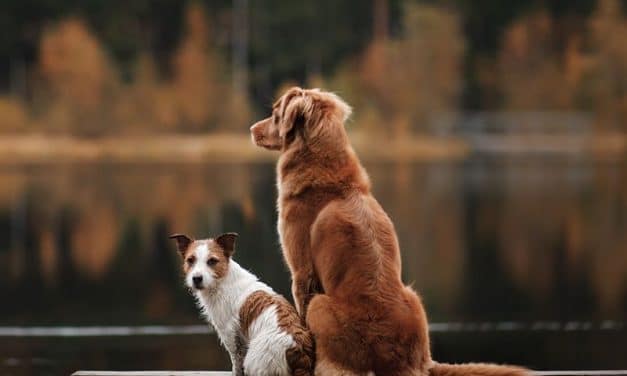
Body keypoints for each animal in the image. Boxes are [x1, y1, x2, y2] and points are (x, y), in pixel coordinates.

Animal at [170, 232, 314, 376]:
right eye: (190, 260)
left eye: (212, 261)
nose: (196, 279)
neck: (222, 280)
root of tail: (297, 347)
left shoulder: (229, 334)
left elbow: (236, 361)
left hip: (255, 362)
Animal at [250, 87, 528, 376]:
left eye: (275, 114)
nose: (251, 129)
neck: (325, 170)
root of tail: (410, 362)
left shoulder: (302, 273)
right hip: (414, 297)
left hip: (321, 304)